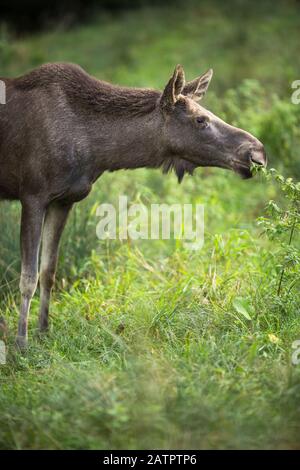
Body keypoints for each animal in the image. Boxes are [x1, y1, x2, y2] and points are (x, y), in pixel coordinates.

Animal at [0, 63, 268, 348]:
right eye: (200, 119)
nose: (257, 153)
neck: (98, 153)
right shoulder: (32, 195)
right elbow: (28, 278)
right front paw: (22, 343)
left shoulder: (63, 200)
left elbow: (48, 271)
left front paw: (44, 331)